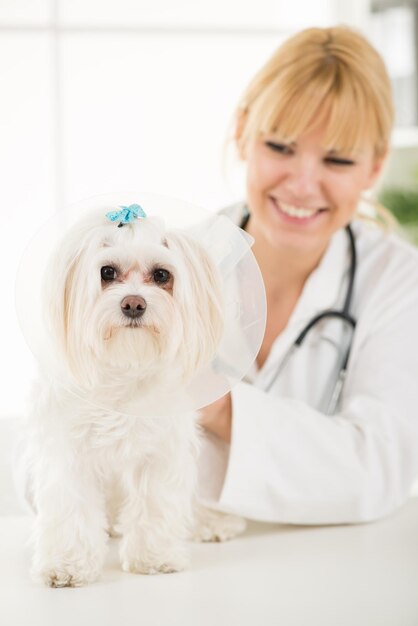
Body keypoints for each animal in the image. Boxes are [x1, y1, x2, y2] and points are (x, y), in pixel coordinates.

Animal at [20, 206, 245, 584]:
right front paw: (67, 564)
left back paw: (212, 523)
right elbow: (71, 508)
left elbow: (156, 501)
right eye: (107, 272)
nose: (134, 304)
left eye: (161, 275)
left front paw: (155, 557)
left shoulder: (160, 450)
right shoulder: (68, 451)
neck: (124, 366)